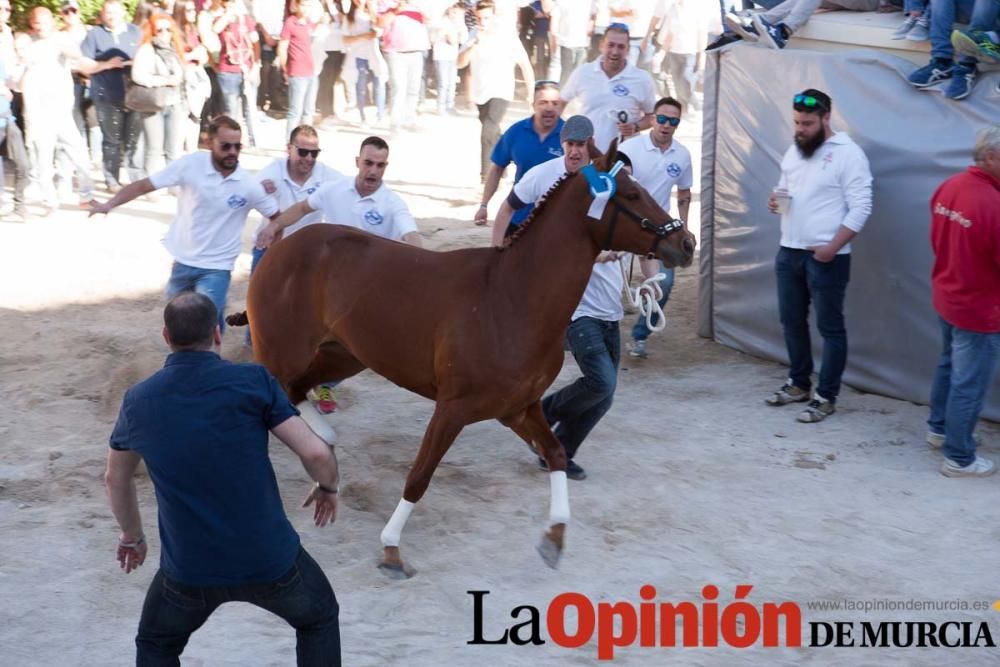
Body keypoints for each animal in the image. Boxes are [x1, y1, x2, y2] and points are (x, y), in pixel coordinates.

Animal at [227, 149, 696, 576]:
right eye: (632, 195)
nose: (685, 243)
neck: (512, 298)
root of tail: (280, 247)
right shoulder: (452, 409)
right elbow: (419, 475)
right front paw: (391, 549)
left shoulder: (517, 409)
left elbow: (557, 454)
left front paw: (554, 539)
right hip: (282, 353)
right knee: (280, 396)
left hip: (344, 355)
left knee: (298, 393)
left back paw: (325, 450)